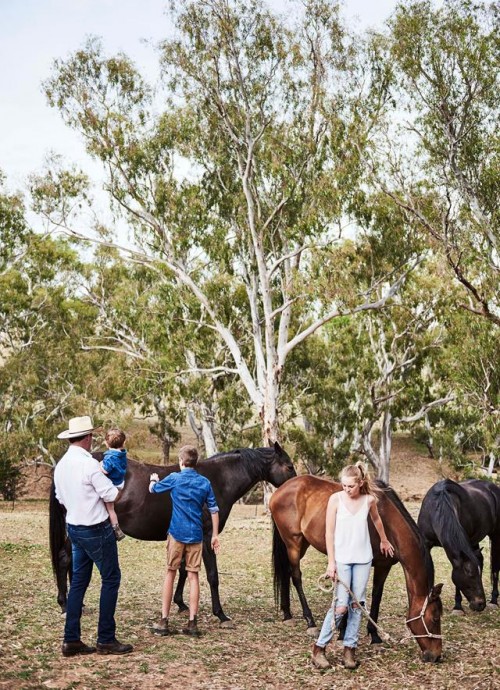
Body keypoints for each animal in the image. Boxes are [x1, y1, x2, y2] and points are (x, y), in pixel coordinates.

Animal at [49, 440, 296, 624]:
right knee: (64, 559)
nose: (296, 487)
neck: (217, 479)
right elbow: (212, 575)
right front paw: (220, 613)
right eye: (289, 466)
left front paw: (180, 602)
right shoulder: (207, 536)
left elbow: (184, 570)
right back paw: (64, 603)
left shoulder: (188, 533)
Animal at [270, 472, 442, 660]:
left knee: (286, 573)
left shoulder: (383, 565)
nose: (436, 656)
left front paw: (374, 635)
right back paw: (310, 621)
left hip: (301, 544)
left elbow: (376, 595)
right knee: (296, 576)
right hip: (293, 543)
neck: (387, 522)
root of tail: (281, 489)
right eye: (435, 618)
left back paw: (287, 614)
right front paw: (342, 634)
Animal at [418, 476, 500, 612]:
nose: (480, 604)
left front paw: (458, 607)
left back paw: (494, 600)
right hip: (474, 541)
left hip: (495, 536)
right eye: (470, 575)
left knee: (495, 567)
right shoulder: (426, 545)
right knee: (481, 558)